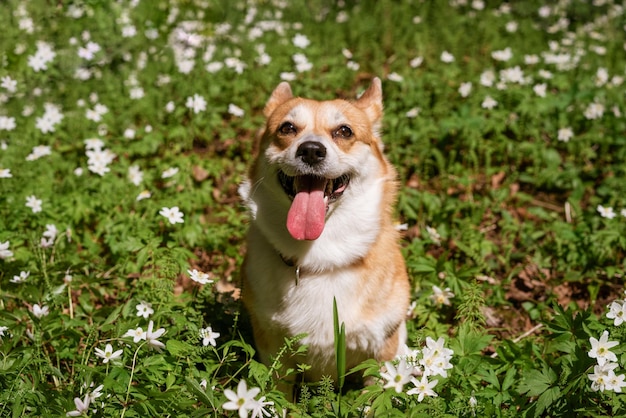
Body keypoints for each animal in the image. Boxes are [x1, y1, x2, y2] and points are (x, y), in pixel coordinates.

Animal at [239, 78, 410, 392]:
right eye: (287, 128)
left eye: (344, 131)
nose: (311, 150)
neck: (321, 257)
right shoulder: (273, 350)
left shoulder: (382, 349)